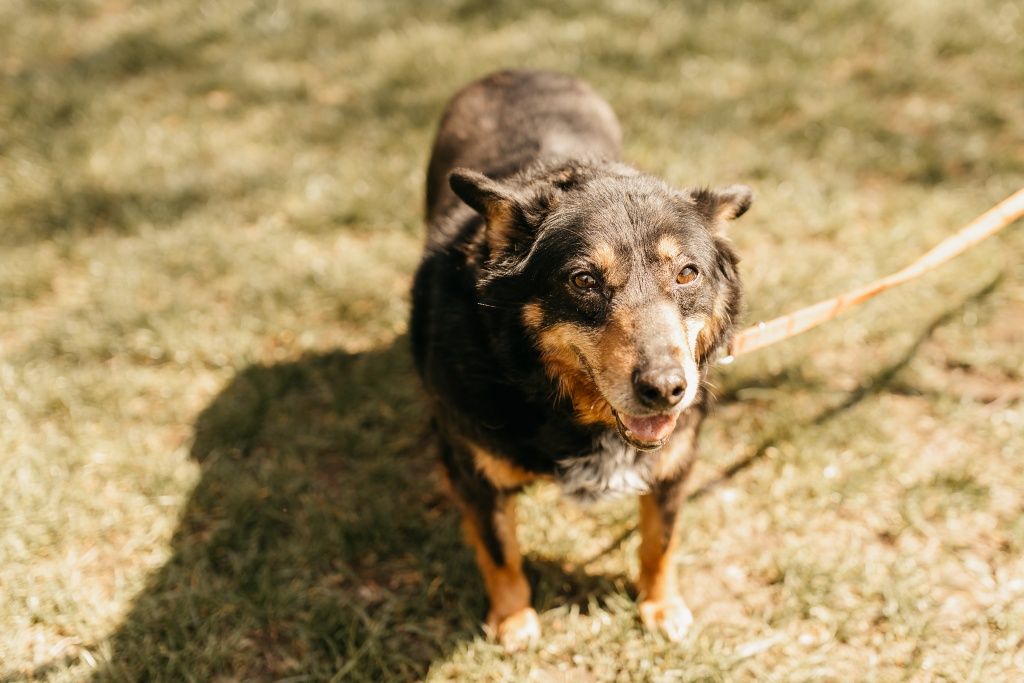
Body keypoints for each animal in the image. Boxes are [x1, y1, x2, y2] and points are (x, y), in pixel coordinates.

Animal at [407, 70, 753, 651]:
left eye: (687, 273)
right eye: (584, 281)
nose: (667, 389)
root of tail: (519, 70)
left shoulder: (676, 462)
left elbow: (660, 539)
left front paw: (661, 606)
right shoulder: (471, 466)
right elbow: (500, 551)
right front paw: (513, 620)